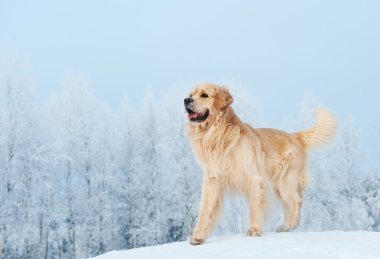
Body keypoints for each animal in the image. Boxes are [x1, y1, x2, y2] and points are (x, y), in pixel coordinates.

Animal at [184, 83, 336, 246]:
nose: (186, 100)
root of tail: (295, 136)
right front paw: (198, 236)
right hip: (279, 187)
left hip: (286, 180)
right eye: (191, 95)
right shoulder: (212, 181)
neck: (218, 134)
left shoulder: (253, 178)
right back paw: (285, 226)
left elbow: (255, 207)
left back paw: (290, 224)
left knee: (297, 200)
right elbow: (204, 211)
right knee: (289, 204)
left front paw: (254, 230)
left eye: (204, 95)